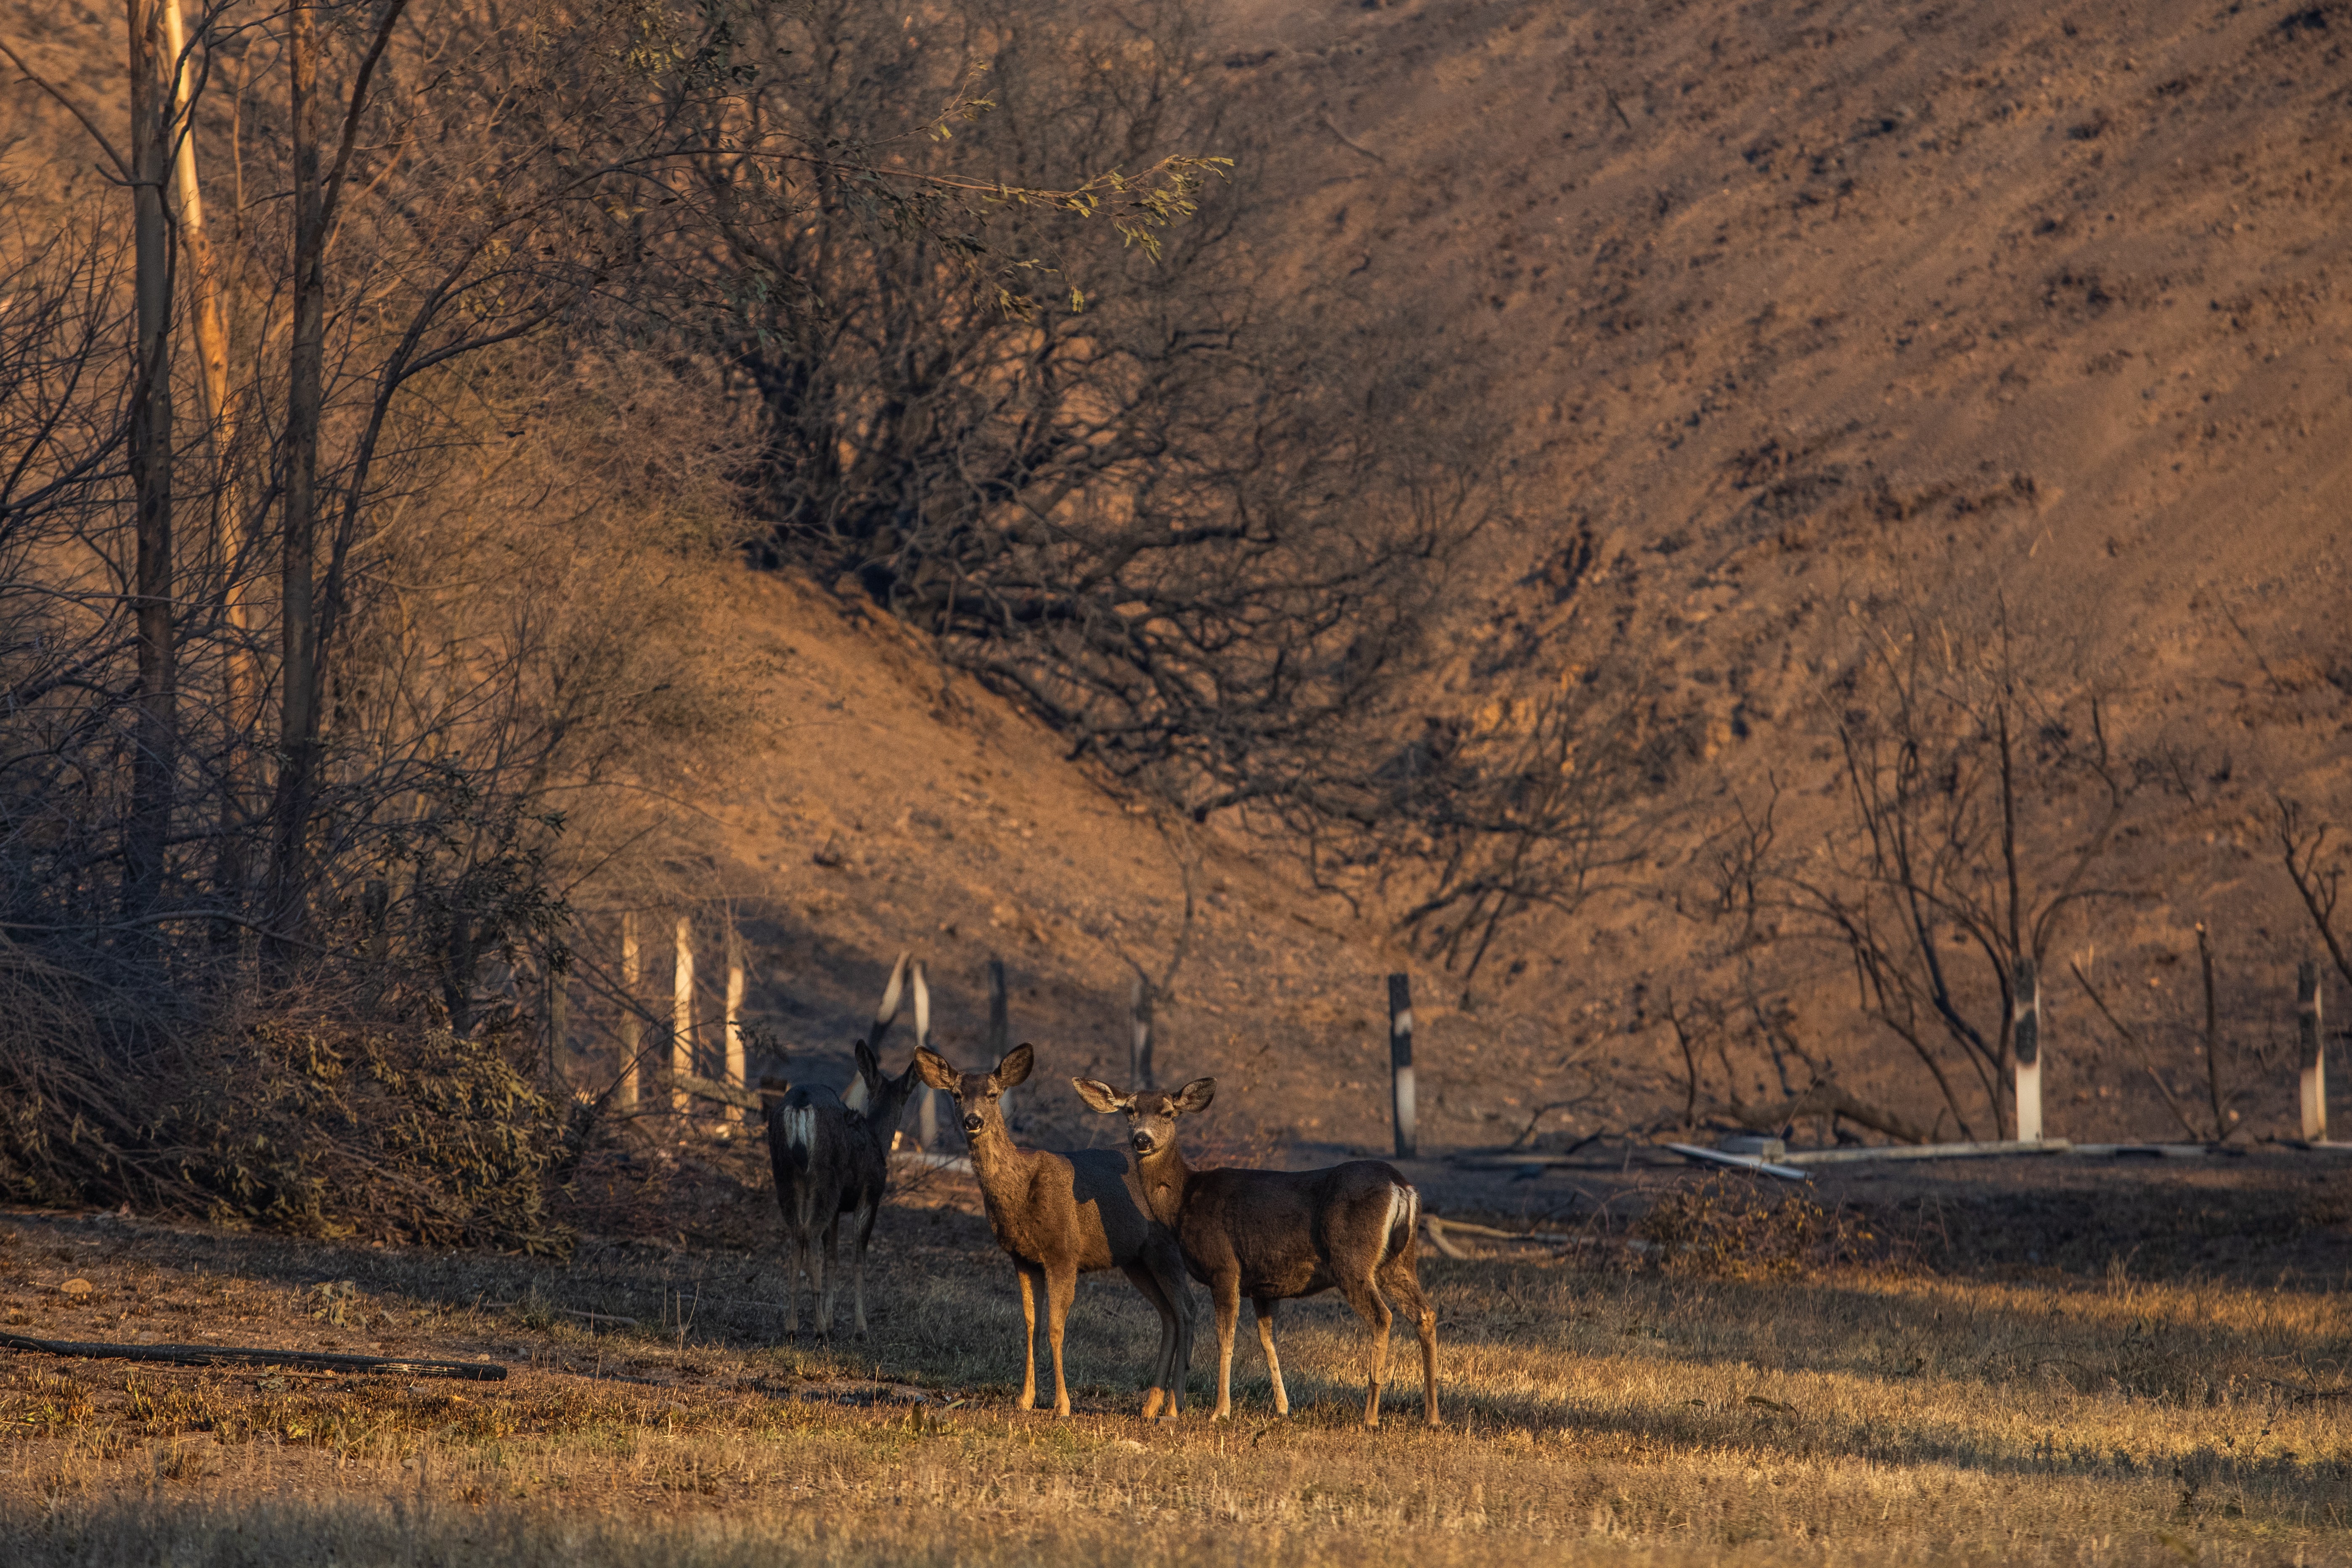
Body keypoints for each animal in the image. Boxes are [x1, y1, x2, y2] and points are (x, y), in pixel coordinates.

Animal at [762, 950, 926, 1345]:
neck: (876, 1138)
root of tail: (799, 1105)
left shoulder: (840, 1206)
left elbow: (834, 1256)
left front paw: (835, 1318)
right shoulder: (869, 1194)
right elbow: (857, 1259)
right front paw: (859, 1327)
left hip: (787, 1174)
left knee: (796, 1236)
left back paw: (794, 1326)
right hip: (826, 1177)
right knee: (807, 1233)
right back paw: (818, 1328)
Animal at [903, 1043, 1195, 1419]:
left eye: (994, 1094)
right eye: (956, 1094)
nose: (973, 1120)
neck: (1022, 1191)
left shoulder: (1064, 1251)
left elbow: (1056, 1328)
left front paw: (1062, 1404)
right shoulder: (1023, 1258)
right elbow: (1032, 1325)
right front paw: (1025, 1398)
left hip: (1164, 1247)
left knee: (1187, 1309)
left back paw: (1173, 1406)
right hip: (1136, 1259)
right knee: (1169, 1314)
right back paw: (1150, 1405)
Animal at [1077, 1081, 1439, 1438]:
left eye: (1167, 1112)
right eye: (1129, 1111)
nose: (1142, 1139)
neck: (1182, 1202)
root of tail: (1401, 1187)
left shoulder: (1224, 1266)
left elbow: (1225, 1338)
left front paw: (1221, 1411)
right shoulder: (1264, 1283)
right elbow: (1268, 1341)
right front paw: (1282, 1407)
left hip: (1351, 1258)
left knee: (1382, 1316)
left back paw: (1371, 1416)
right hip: (1398, 1261)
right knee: (1425, 1313)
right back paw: (1432, 1416)